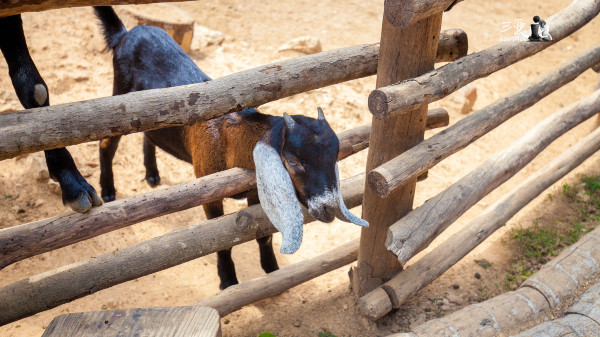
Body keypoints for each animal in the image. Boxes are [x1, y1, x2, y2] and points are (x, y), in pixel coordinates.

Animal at [95, 5, 366, 288]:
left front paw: (272, 269)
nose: (329, 207)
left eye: (335, 157)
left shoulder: (256, 191)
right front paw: (228, 281)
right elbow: (220, 239)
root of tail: (126, 33)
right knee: (106, 143)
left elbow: (264, 233)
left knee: (148, 136)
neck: (231, 144)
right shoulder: (209, 190)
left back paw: (152, 175)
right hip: (119, 103)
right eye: (292, 161)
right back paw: (108, 192)